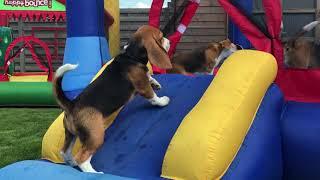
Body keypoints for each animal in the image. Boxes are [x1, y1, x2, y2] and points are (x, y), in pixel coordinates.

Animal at [52, 25, 172, 173]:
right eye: (161, 37)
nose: (169, 41)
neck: (131, 56)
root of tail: (72, 104)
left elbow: (149, 77)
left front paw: (155, 83)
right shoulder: (143, 86)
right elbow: (153, 96)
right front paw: (162, 101)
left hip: (70, 134)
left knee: (64, 152)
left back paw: (71, 162)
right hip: (96, 135)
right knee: (82, 157)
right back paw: (94, 173)